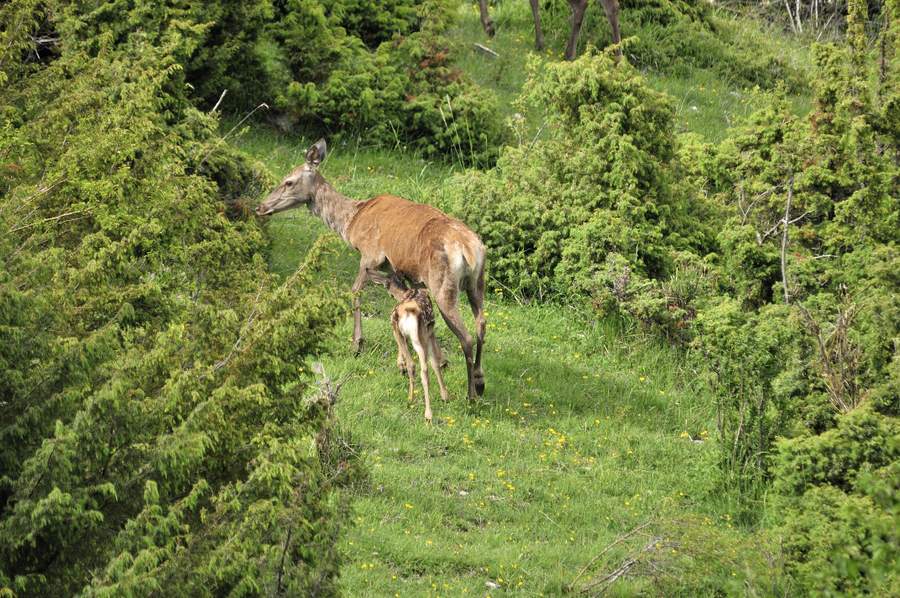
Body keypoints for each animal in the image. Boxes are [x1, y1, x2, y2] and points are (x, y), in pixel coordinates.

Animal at [256, 141, 488, 404]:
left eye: (289, 181)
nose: (261, 206)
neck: (351, 222)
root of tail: (469, 249)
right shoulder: (406, 273)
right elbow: (405, 302)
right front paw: (429, 360)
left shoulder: (370, 255)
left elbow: (355, 290)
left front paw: (357, 344)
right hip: (476, 283)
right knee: (481, 323)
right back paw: (480, 380)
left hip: (443, 284)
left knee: (466, 336)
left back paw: (471, 394)